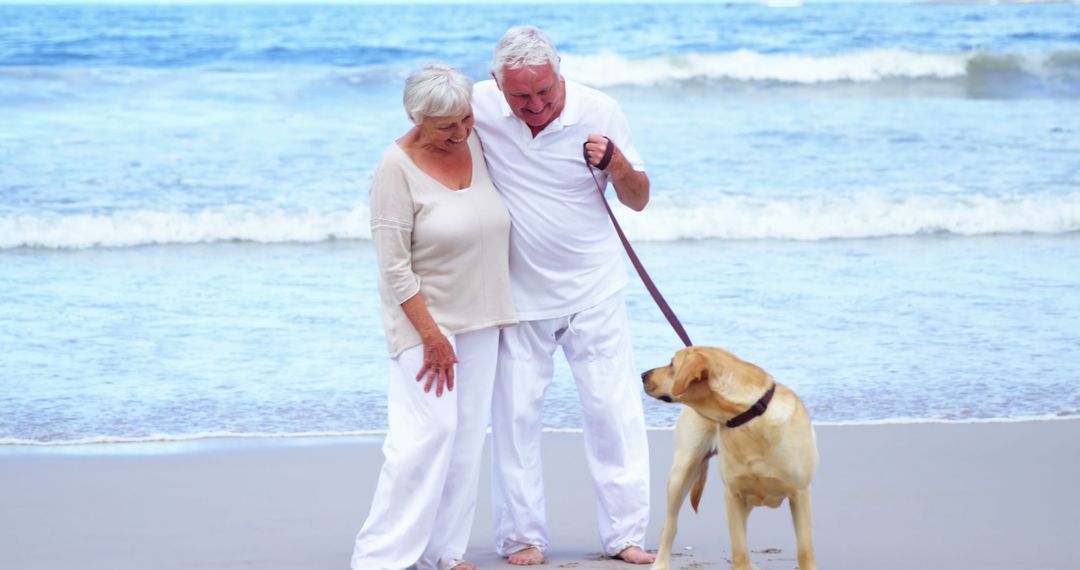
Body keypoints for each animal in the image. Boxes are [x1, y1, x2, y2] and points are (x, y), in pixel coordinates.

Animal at [639, 345, 816, 565]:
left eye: (672, 363)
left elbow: (804, 551)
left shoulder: (799, 494)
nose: (642, 375)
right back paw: (661, 563)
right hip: (682, 473)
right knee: (669, 525)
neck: (749, 419)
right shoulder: (733, 494)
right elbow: (740, 552)